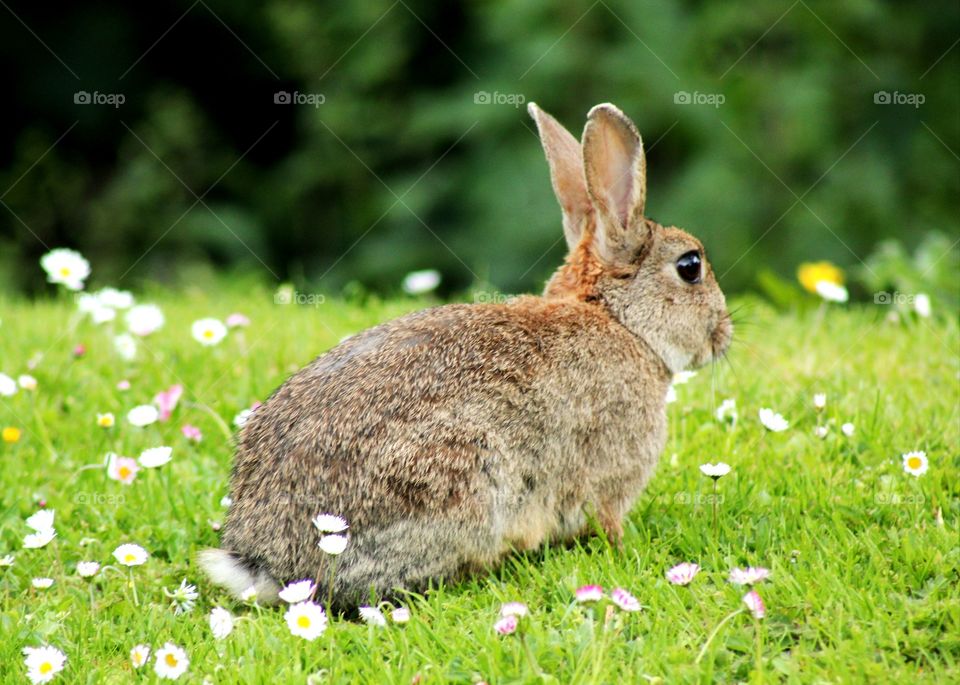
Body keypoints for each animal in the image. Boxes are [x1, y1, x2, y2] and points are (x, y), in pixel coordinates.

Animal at [199, 102, 732, 608]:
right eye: (690, 266)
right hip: (453, 478)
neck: (620, 321)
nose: (724, 335)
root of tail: (266, 562)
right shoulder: (608, 478)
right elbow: (608, 521)